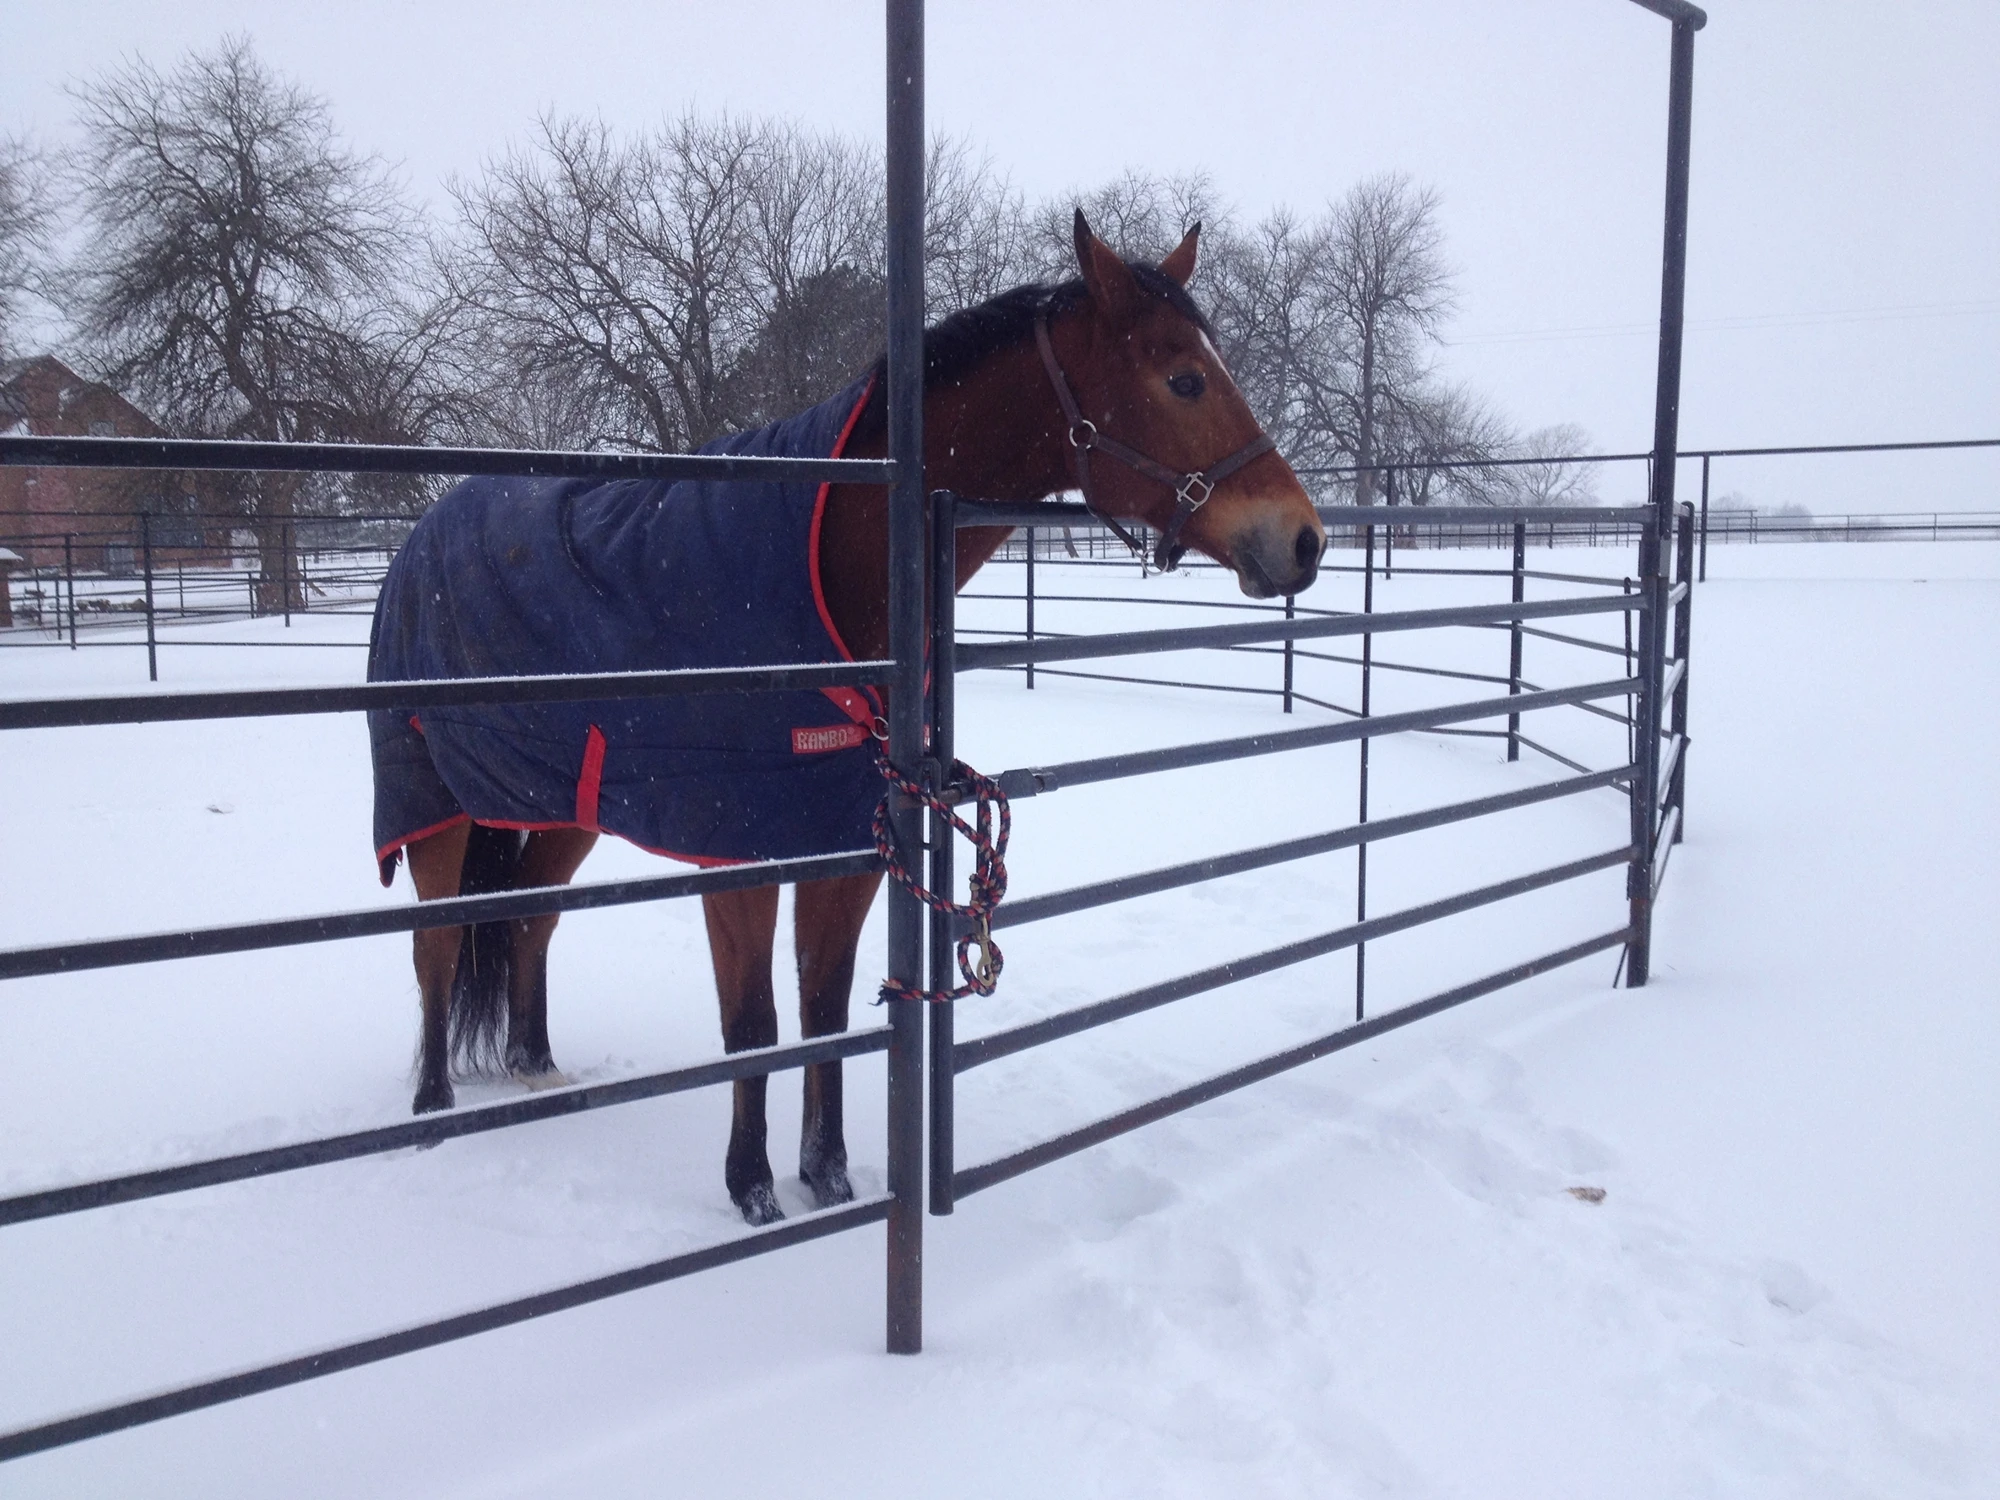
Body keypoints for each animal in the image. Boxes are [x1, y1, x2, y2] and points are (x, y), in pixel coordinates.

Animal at [372, 212, 1328, 1224]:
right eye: (1184, 378)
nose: (1304, 539)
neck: (834, 568)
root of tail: (421, 535)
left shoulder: (847, 839)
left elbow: (824, 1007)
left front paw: (827, 1176)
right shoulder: (739, 852)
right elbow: (755, 1022)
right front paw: (753, 1189)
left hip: (563, 805)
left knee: (530, 919)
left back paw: (535, 1067)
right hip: (433, 807)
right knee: (436, 945)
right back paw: (431, 1106)